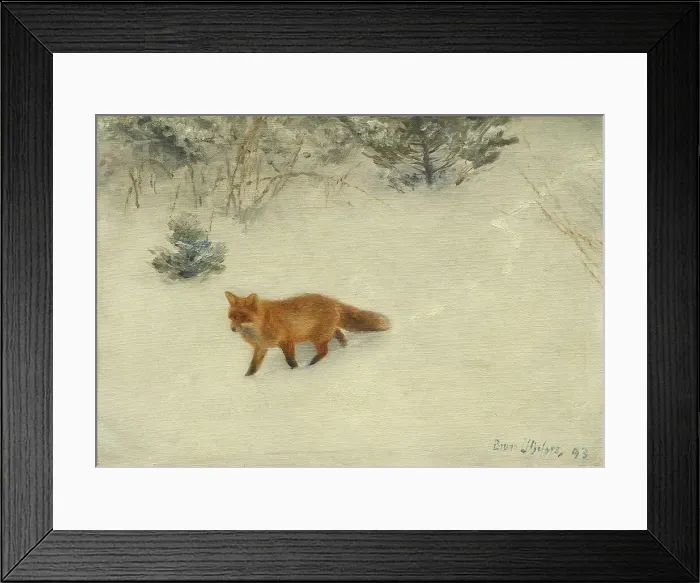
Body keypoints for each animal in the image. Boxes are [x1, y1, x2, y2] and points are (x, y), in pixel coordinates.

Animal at [225, 291, 390, 376]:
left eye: (243, 317)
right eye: (232, 317)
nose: (232, 329)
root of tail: (332, 301)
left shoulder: (286, 341)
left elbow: (291, 361)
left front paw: (296, 372)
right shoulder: (261, 348)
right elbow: (253, 367)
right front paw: (247, 379)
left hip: (317, 338)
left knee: (324, 351)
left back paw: (312, 364)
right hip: (324, 333)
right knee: (339, 334)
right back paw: (344, 347)